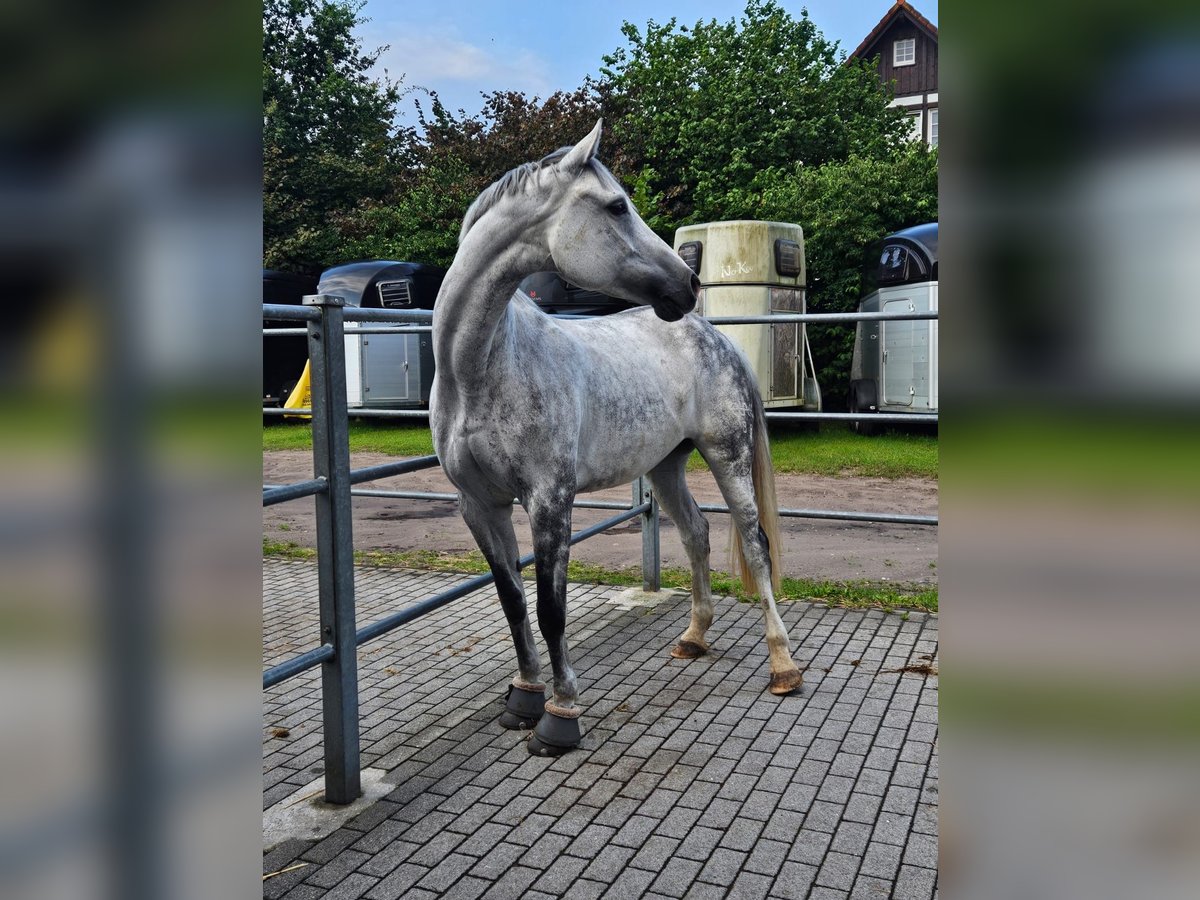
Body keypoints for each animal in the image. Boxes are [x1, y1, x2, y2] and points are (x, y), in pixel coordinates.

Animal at [432, 120, 806, 753]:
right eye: (616, 205)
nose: (687, 282)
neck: (480, 368)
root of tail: (716, 337)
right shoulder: (479, 504)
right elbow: (512, 601)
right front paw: (523, 697)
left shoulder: (549, 501)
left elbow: (551, 609)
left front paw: (559, 716)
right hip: (666, 465)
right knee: (697, 533)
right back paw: (693, 638)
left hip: (727, 457)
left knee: (756, 546)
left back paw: (783, 667)